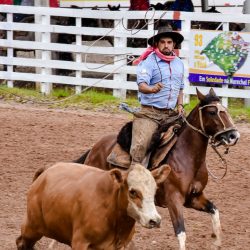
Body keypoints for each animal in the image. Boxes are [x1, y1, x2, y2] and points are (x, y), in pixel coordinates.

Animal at [16, 161, 171, 249]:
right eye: (133, 192)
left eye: (155, 189)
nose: (154, 220)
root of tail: (46, 170)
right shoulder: (80, 242)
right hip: (31, 228)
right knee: (21, 243)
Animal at [75, 88, 239, 250]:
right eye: (212, 112)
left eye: (226, 110)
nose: (234, 135)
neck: (188, 157)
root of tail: (95, 148)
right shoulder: (174, 200)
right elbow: (181, 232)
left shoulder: (194, 198)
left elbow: (215, 211)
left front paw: (216, 241)